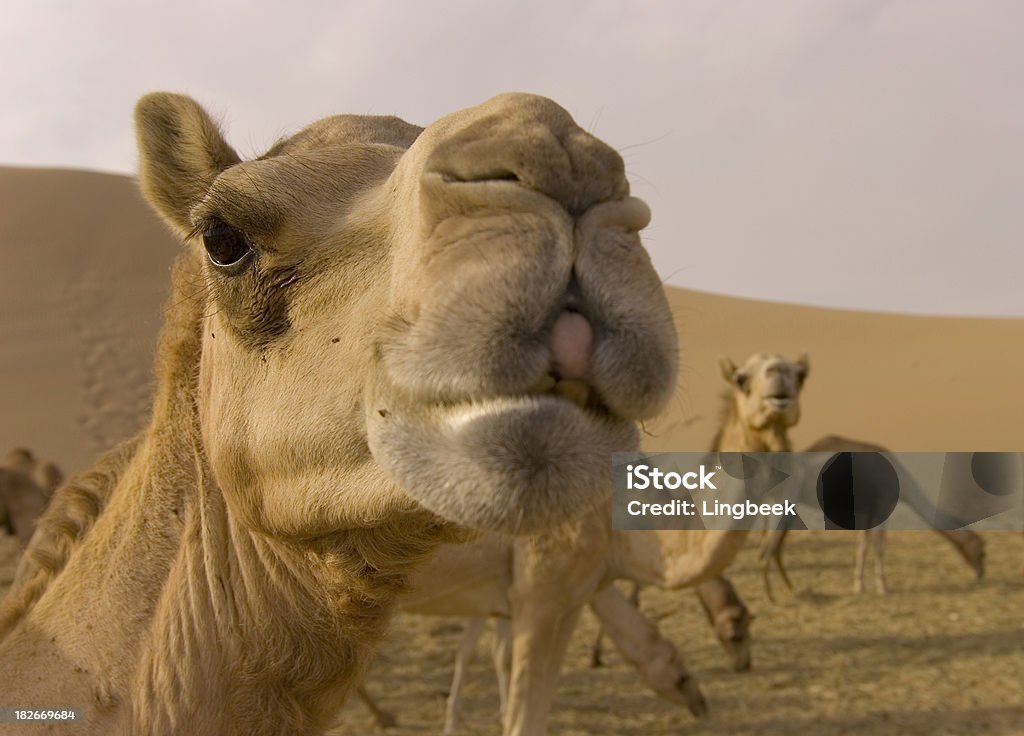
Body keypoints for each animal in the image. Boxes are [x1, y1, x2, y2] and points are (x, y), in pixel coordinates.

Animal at [712, 354, 983, 601]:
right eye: (980, 547)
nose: (980, 573)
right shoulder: (882, 507)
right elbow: (877, 547)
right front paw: (882, 587)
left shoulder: (866, 512)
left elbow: (863, 548)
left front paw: (860, 587)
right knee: (766, 551)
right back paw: (772, 597)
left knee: (775, 549)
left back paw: (793, 590)